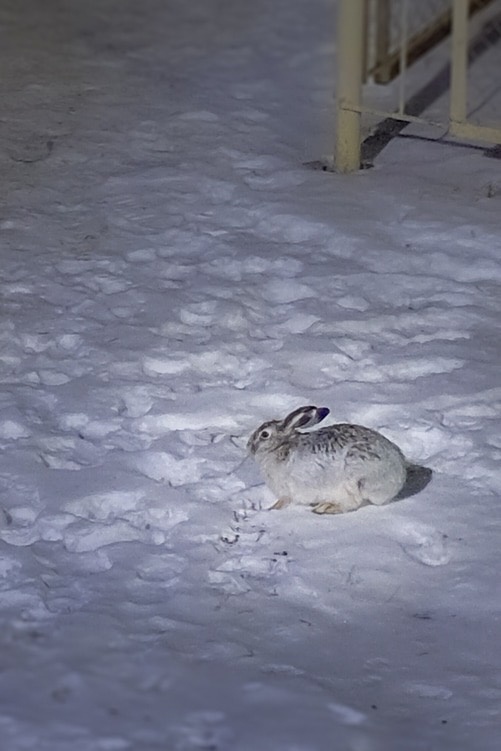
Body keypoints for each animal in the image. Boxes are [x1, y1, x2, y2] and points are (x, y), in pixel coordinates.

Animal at [247, 405, 425, 514]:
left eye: (264, 434)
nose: (249, 446)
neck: (281, 446)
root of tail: (399, 475)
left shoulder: (286, 491)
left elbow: (283, 501)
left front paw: (270, 510)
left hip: (355, 479)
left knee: (352, 502)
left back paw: (325, 508)